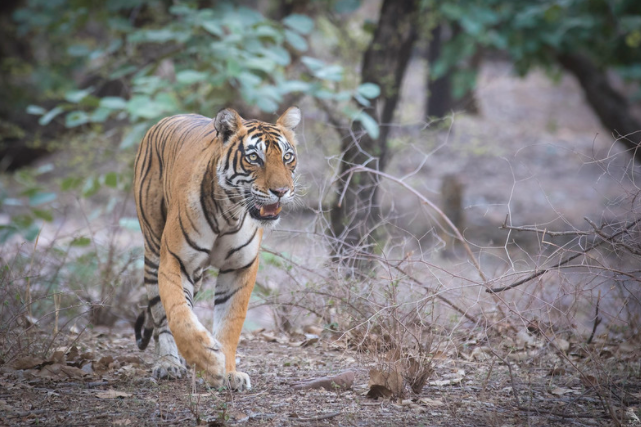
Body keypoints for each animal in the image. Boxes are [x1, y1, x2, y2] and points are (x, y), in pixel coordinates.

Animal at [132, 107, 301, 391]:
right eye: (254, 158)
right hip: (153, 250)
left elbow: (230, 324)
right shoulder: (175, 260)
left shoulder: (240, 267)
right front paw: (208, 360)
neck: (229, 213)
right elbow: (178, 313)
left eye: (287, 157)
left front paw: (229, 372)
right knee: (161, 317)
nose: (281, 191)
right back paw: (168, 362)